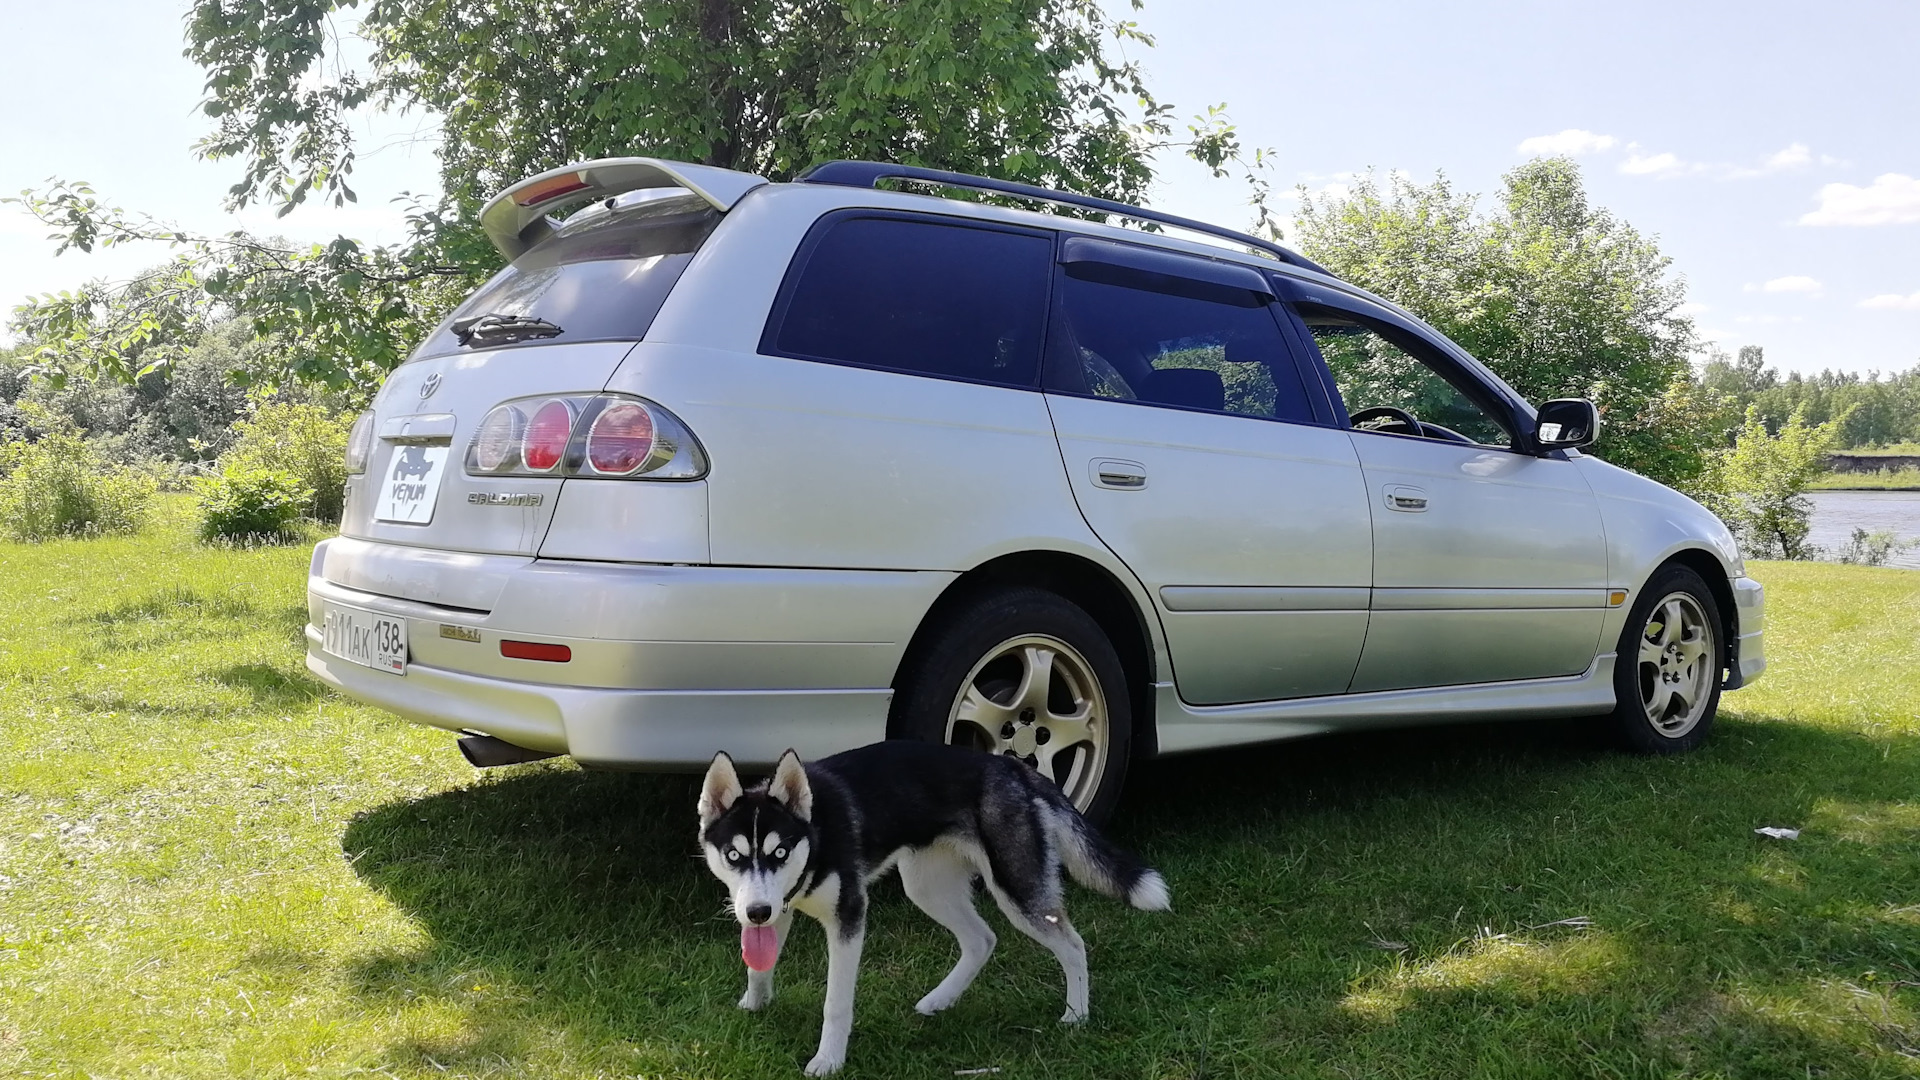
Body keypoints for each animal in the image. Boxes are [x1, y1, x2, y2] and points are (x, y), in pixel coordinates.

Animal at [695, 737, 1159, 1068]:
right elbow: (759, 965)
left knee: (1072, 944)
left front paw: (828, 1060)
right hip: (925, 886)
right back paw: (941, 999)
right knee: (982, 939)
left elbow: (836, 1003)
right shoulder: (774, 907)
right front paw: (754, 1005)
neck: (818, 832)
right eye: (734, 856)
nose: (757, 912)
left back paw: (1076, 1015)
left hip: (1017, 889)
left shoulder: (849, 917)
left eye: (780, 853)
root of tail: (1012, 767)